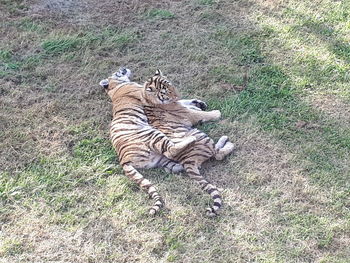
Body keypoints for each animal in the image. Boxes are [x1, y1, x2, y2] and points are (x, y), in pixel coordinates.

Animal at [100, 67, 234, 217]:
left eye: (171, 85)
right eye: (165, 91)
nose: (123, 68)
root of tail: (123, 159)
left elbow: (186, 101)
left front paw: (198, 103)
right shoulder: (186, 114)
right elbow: (200, 113)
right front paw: (214, 112)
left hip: (159, 158)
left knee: (174, 164)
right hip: (166, 135)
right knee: (215, 153)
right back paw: (222, 141)